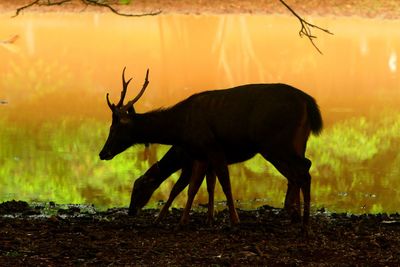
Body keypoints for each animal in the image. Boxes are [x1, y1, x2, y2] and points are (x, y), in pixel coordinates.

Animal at [99, 67, 322, 232]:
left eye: (115, 128)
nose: (103, 153)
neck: (180, 128)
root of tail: (308, 102)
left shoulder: (211, 147)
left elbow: (224, 184)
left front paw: (234, 221)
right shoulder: (200, 155)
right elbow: (196, 187)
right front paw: (189, 221)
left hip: (276, 142)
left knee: (303, 168)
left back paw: (305, 224)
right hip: (294, 142)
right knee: (298, 171)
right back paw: (296, 217)